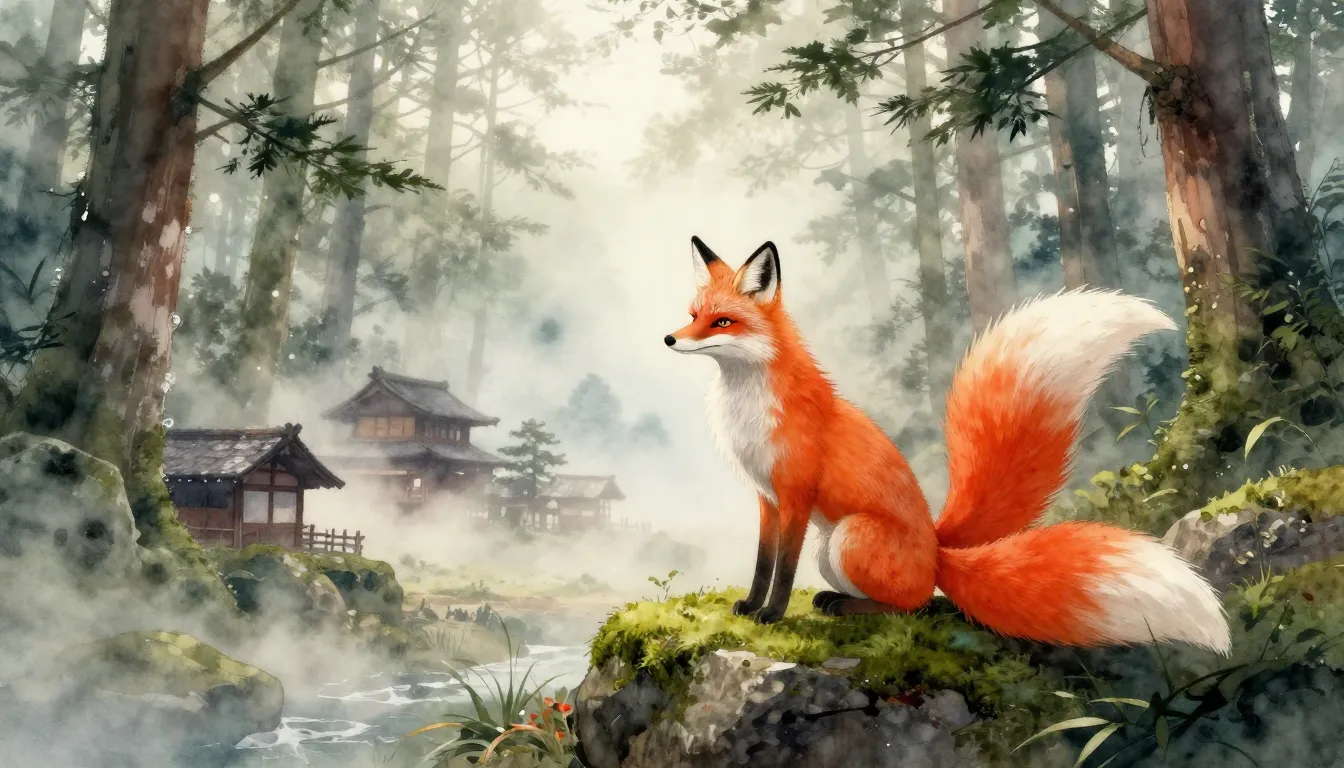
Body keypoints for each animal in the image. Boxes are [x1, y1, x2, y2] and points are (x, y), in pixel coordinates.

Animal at [662, 236, 1231, 653]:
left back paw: (844, 607)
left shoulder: (796, 493)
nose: (669, 339)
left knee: (913, 604)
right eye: (692, 314)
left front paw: (772, 615)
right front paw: (750, 606)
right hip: (833, 548)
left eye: (722, 321)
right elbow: (762, 562)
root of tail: (938, 551)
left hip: (848, 536)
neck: (747, 409)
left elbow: (782, 570)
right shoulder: (766, 497)